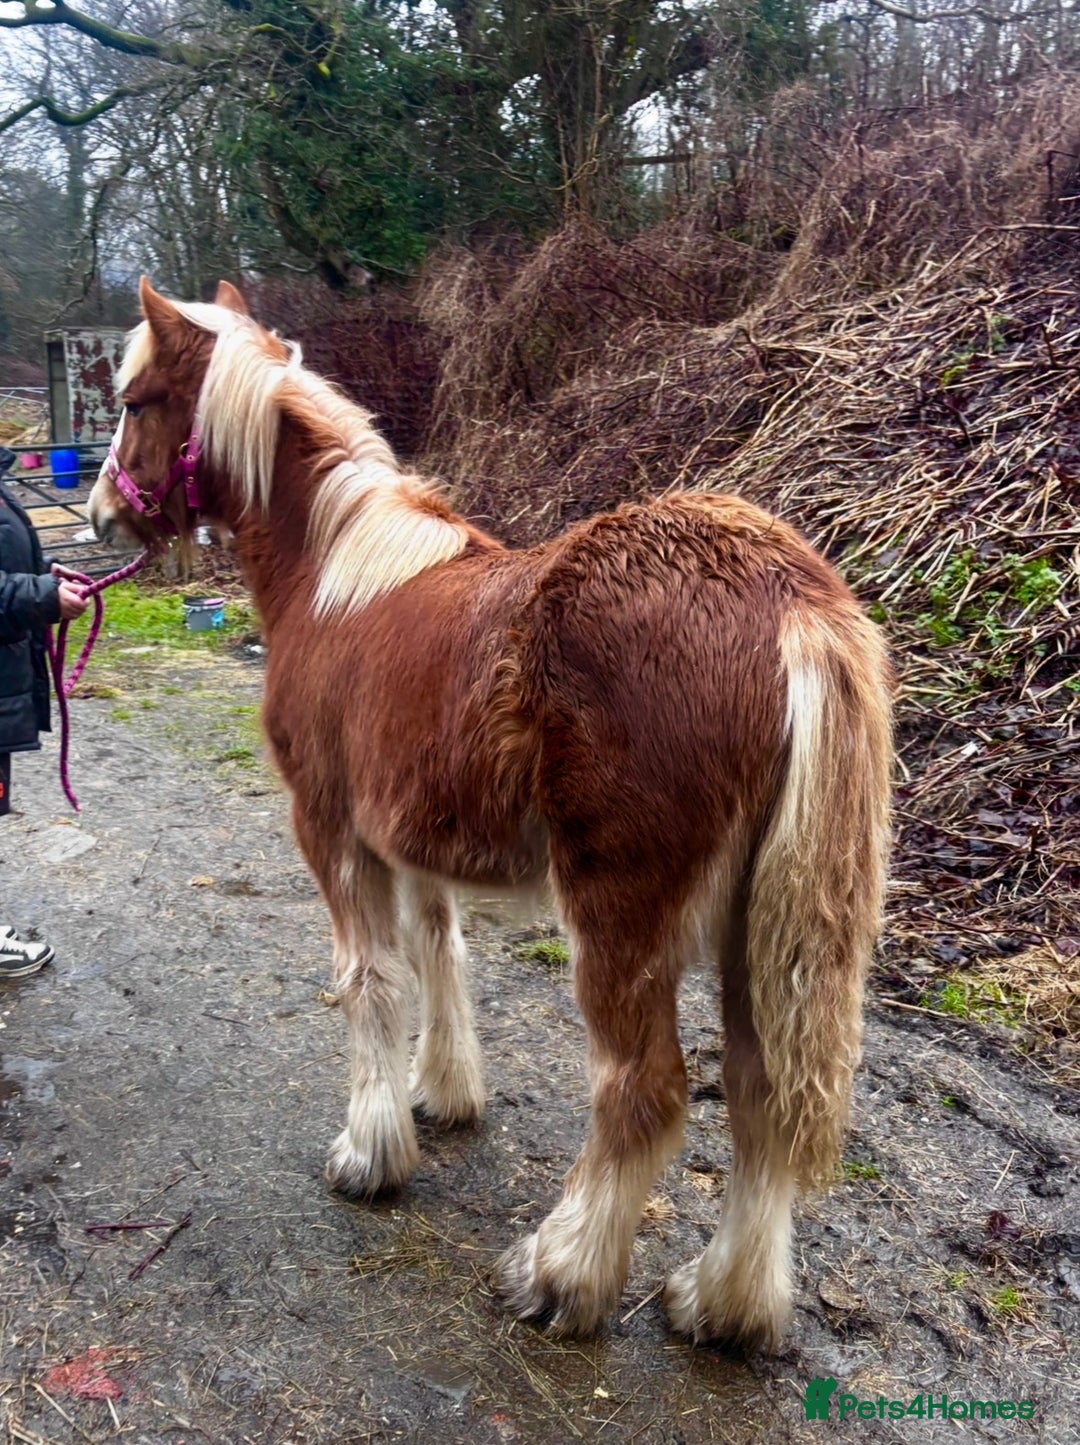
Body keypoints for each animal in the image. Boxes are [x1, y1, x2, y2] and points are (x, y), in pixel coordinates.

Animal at [89, 277, 892, 1351]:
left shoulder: (332, 833)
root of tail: (791, 602)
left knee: (643, 1092)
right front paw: (444, 1093)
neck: (330, 571)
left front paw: (371, 1152)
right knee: (760, 1095)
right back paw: (723, 1303)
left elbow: (368, 980)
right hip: (751, 929)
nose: (99, 512)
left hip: (623, 917)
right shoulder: (414, 840)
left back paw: (562, 1273)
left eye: (136, 401)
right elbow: (441, 955)